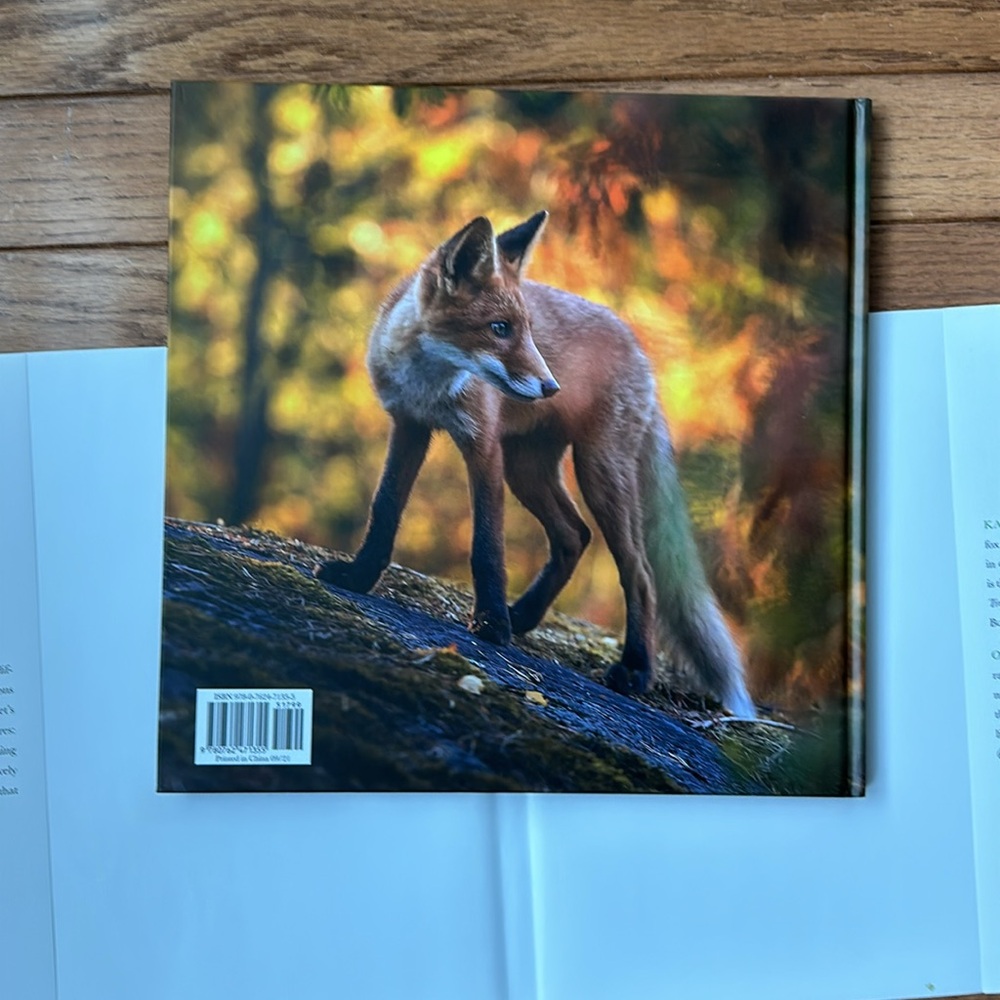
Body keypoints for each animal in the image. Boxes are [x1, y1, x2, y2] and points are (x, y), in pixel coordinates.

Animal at [315, 211, 756, 718]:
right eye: (499, 327)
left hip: (597, 471)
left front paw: (490, 624)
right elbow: (385, 509)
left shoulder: (483, 444)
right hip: (527, 470)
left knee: (639, 571)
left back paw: (635, 669)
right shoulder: (409, 427)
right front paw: (359, 577)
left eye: (525, 329)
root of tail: (638, 347)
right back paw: (524, 614)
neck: (432, 383)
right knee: (573, 536)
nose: (551, 387)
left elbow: (487, 545)